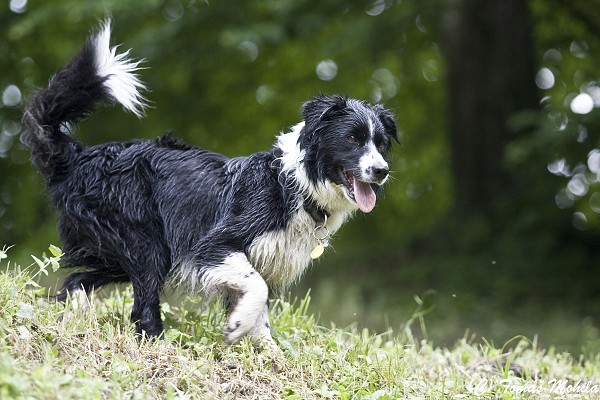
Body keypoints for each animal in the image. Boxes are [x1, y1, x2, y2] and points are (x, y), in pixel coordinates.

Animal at [23, 21, 398, 346]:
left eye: (380, 144)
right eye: (351, 139)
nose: (382, 171)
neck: (296, 184)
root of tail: (79, 155)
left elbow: (260, 312)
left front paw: (266, 352)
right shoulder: (213, 244)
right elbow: (257, 288)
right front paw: (236, 329)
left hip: (121, 252)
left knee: (75, 281)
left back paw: (77, 317)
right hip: (146, 242)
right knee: (141, 305)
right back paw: (157, 343)